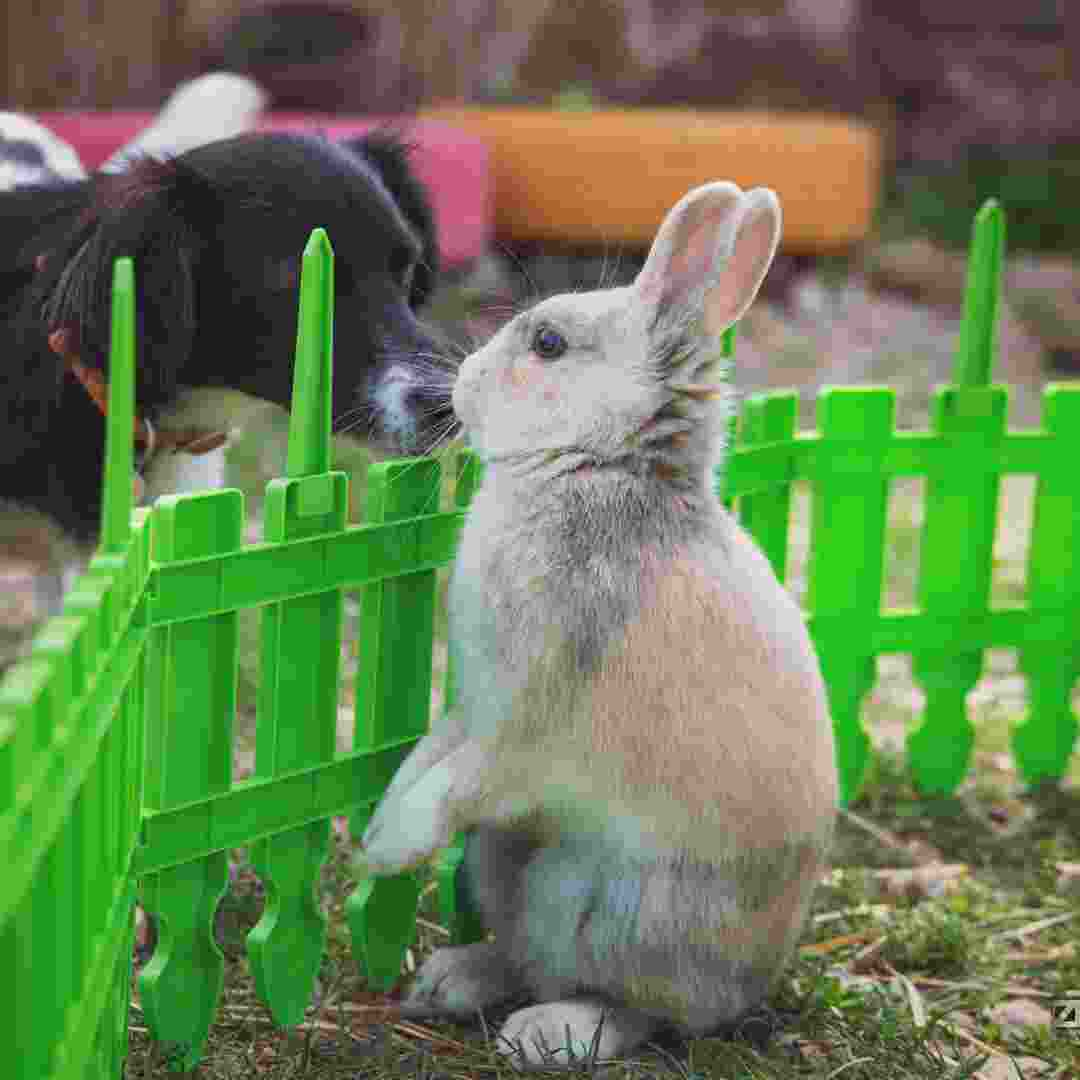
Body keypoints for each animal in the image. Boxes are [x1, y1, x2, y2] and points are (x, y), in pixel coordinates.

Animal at [358, 181, 838, 1067]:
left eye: (548, 342)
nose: (463, 384)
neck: (600, 466)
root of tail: (750, 988)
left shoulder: (524, 725)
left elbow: (459, 783)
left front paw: (384, 848)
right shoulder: (473, 703)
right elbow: (429, 756)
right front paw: (378, 824)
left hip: (616, 912)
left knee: (641, 1011)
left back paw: (551, 1031)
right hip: (504, 863)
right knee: (525, 956)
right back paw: (451, 980)